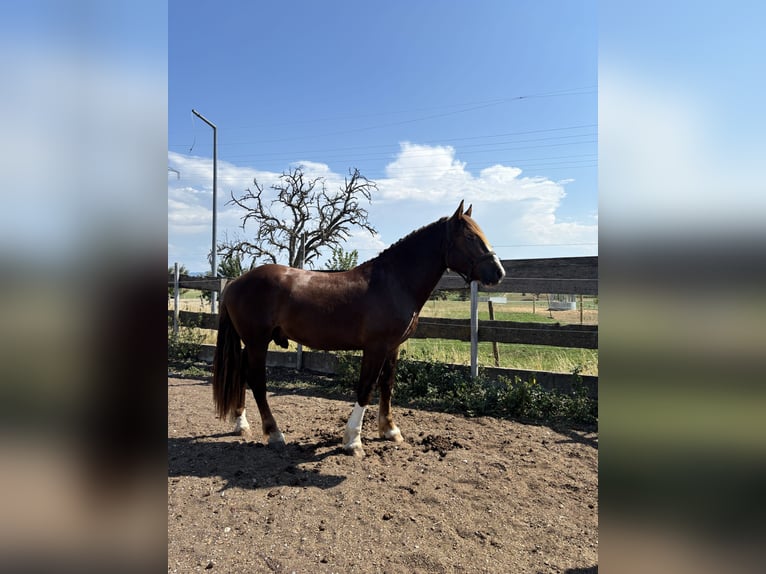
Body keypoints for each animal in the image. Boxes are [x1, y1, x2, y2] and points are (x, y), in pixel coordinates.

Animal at [212, 201, 505, 457]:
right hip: (257, 342)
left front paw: (390, 430)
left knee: (241, 375)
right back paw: (274, 434)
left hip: (250, 343)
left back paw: (241, 425)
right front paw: (353, 440)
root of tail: (236, 282)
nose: (498, 273)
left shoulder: (392, 347)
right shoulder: (374, 348)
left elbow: (387, 385)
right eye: (469, 237)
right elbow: (366, 388)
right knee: (257, 382)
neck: (393, 282)